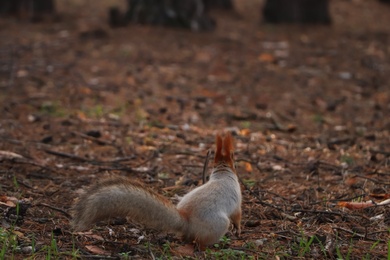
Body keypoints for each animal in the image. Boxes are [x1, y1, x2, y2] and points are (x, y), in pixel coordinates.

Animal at [70, 133, 241, 247]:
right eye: (235, 162)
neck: (222, 174)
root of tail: (186, 221)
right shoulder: (237, 201)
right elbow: (237, 215)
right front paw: (238, 230)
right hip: (219, 224)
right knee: (200, 242)